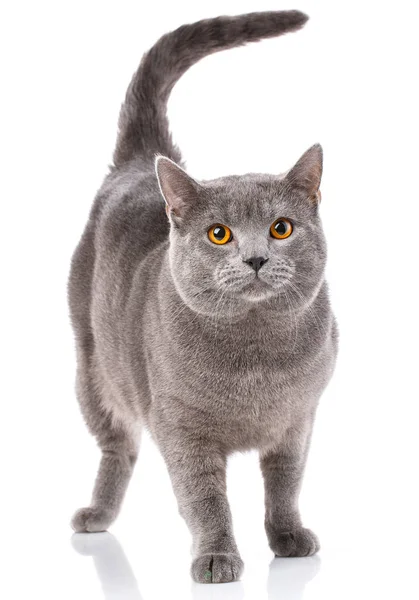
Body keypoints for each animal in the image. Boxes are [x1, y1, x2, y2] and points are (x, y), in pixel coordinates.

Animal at [69, 9, 338, 584]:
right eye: (219, 234)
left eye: (281, 228)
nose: (255, 258)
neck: (256, 359)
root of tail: (139, 161)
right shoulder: (182, 429)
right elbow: (205, 499)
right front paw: (216, 558)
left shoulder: (298, 420)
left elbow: (285, 484)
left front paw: (288, 539)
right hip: (92, 366)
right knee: (118, 446)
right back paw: (98, 515)